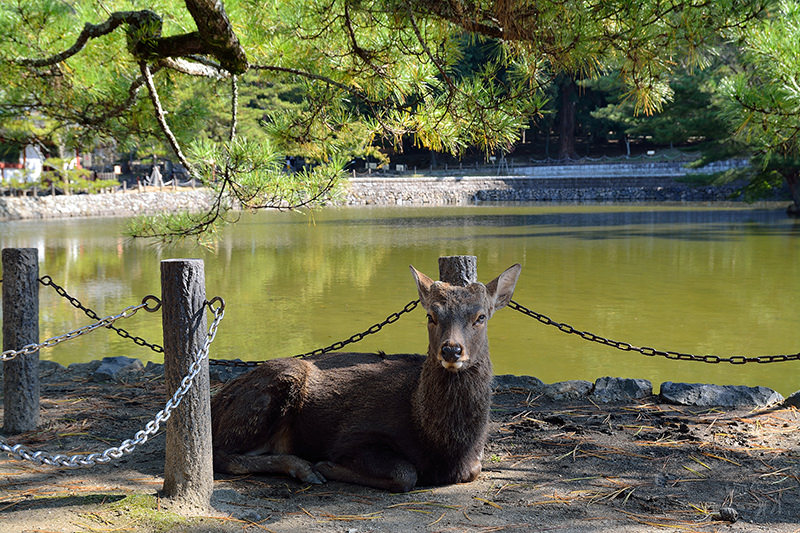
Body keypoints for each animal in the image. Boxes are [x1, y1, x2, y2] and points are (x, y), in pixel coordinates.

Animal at [210, 263, 521, 492]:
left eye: (481, 317)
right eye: (431, 316)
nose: (452, 350)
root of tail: (216, 402)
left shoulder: (473, 462)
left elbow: (474, 469)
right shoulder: (352, 436)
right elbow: (405, 473)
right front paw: (325, 466)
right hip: (277, 383)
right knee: (220, 453)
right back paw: (303, 468)